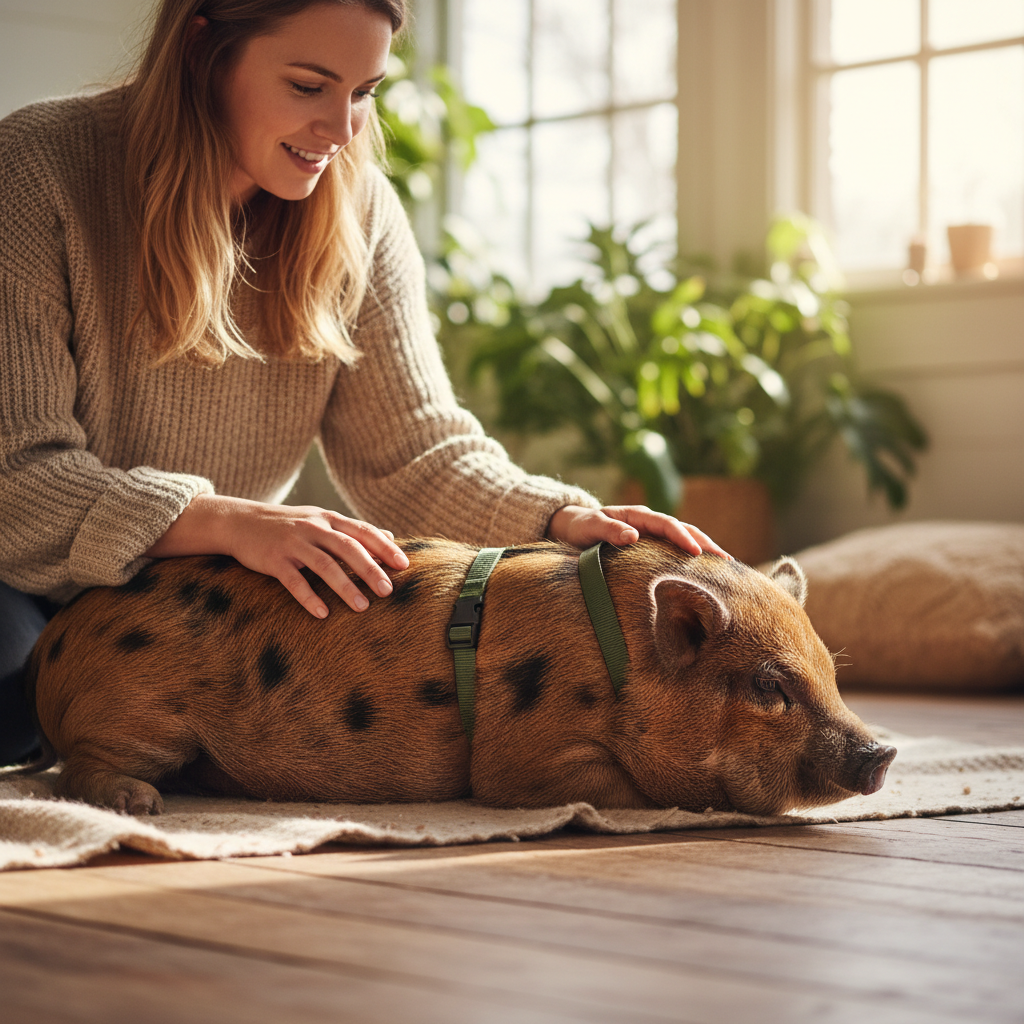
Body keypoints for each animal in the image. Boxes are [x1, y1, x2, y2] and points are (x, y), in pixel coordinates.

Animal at [18, 537, 896, 816]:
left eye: (830, 673)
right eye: (769, 688)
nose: (884, 750)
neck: (617, 671)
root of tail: (55, 640)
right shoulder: (521, 760)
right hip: (140, 713)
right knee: (72, 770)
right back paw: (143, 805)